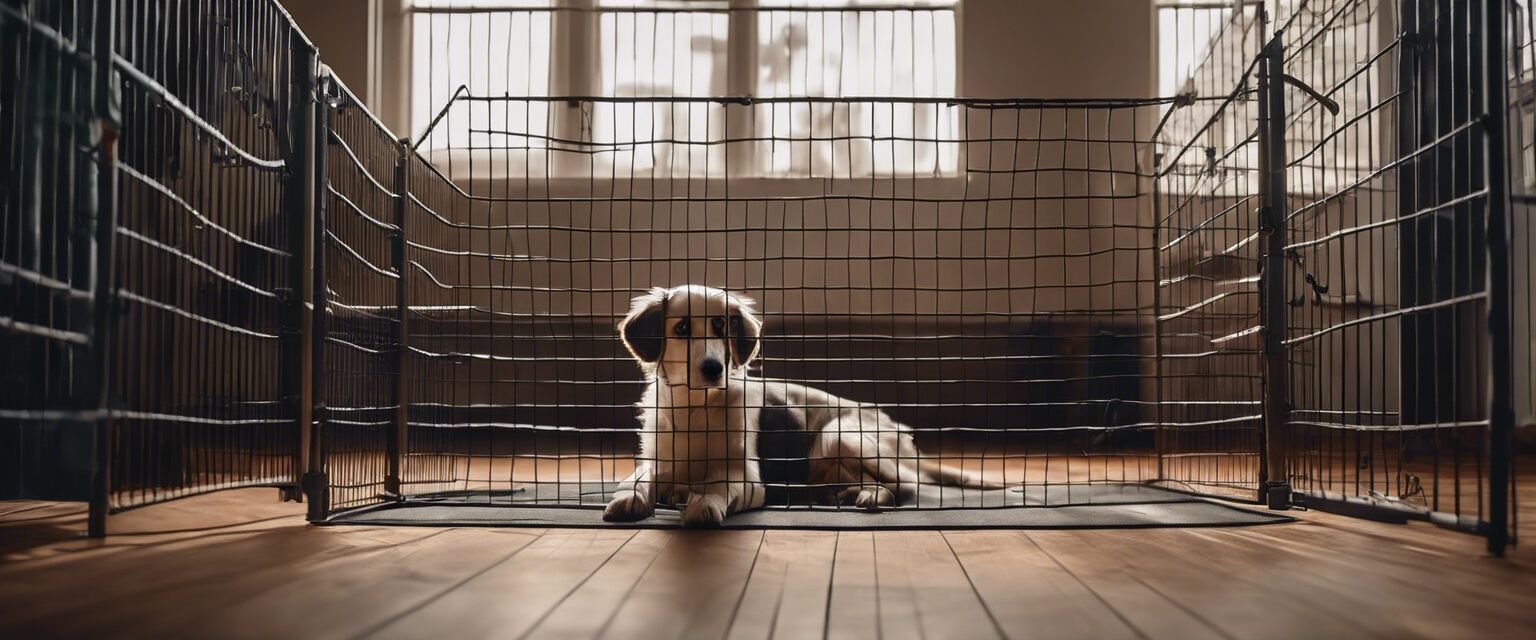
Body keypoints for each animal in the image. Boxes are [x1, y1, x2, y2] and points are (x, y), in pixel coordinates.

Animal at [592, 287, 989, 524]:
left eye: (721, 326)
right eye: (683, 328)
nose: (713, 368)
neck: (696, 409)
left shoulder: (748, 479)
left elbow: (717, 485)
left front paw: (702, 503)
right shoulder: (657, 462)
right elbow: (636, 479)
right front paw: (631, 497)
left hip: (839, 434)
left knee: (899, 486)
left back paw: (865, 496)